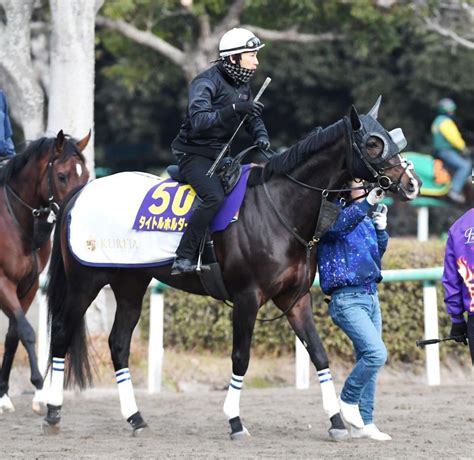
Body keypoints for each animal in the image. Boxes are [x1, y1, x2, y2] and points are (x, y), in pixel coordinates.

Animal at [0, 131, 90, 416]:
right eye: (61, 176)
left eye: (85, 175)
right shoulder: (3, 283)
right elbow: (27, 331)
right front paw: (40, 388)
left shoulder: (27, 286)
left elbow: (13, 335)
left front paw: (4, 395)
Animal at [44, 99, 420, 438]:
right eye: (372, 143)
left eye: (389, 137)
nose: (412, 182)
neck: (278, 207)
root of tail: (80, 192)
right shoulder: (246, 297)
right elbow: (241, 357)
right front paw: (235, 421)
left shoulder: (295, 299)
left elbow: (319, 354)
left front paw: (337, 421)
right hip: (86, 280)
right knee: (61, 332)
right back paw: (52, 412)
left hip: (131, 283)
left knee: (119, 343)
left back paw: (135, 418)